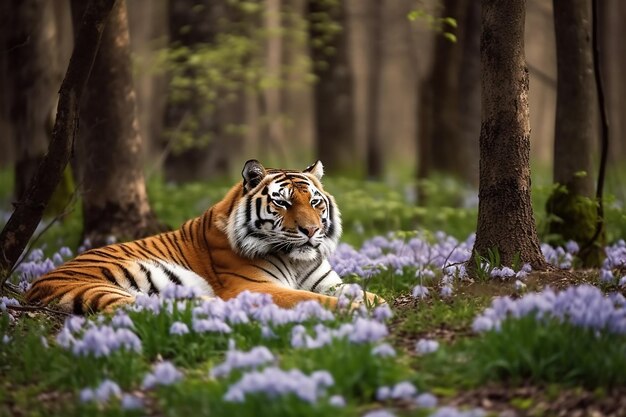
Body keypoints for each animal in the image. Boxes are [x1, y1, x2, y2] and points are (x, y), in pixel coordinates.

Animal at [26, 158, 382, 312]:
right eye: (282, 202)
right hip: (108, 285)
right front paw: (353, 308)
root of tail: (34, 288)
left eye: (314, 202)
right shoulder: (254, 285)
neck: (298, 261)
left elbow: (363, 291)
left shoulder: (328, 281)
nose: (311, 230)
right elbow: (310, 298)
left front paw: (377, 301)